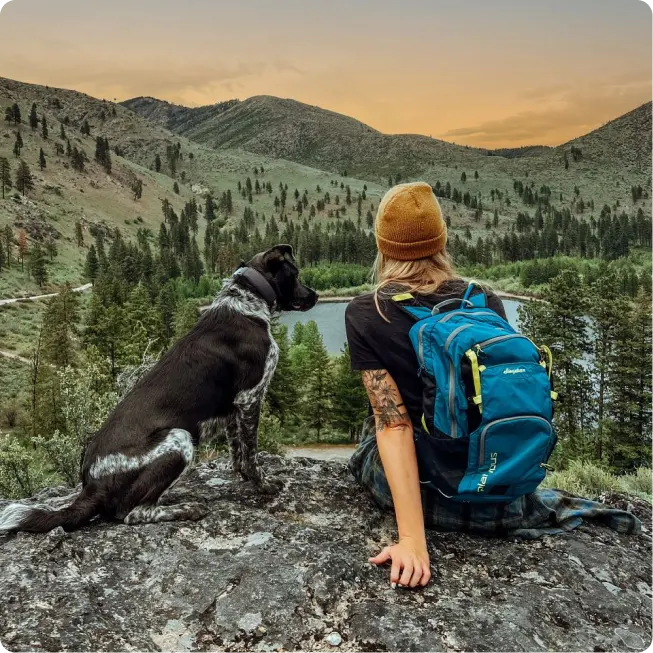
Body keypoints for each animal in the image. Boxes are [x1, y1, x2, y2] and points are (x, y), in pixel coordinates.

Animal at [0, 242, 316, 532]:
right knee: (130, 513)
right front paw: (263, 484)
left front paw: (243, 478)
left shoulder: (235, 407)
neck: (246, 301)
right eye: (296, 274)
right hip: (179, 438)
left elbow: (238, 451)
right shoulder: (251, 397)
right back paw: (185, 508)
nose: (315, 294)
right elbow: (251, 453)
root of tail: (91, 486)